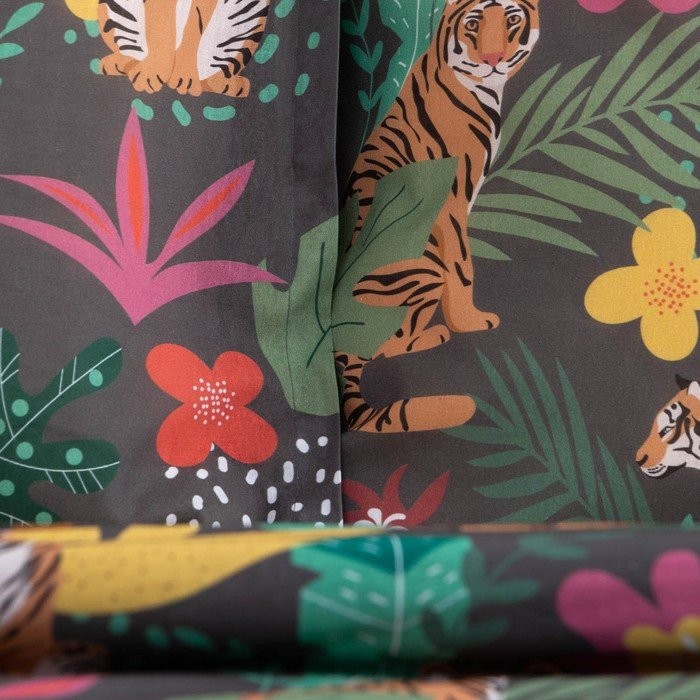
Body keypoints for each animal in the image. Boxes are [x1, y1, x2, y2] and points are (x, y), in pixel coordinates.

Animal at [96, 0, 270, 97]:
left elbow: (194, 25)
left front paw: (184, 79)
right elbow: (161, 24)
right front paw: (150, 73)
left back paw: (228, 84)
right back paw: (119, 63)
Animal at [336, 0, 540, 433]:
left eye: (512, 19)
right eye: (474, 23)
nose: (493, 59)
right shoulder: (452, 201)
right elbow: (462, 267)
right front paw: (470, 322)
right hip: (423, 269)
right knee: (383, 346)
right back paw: (436, 335)